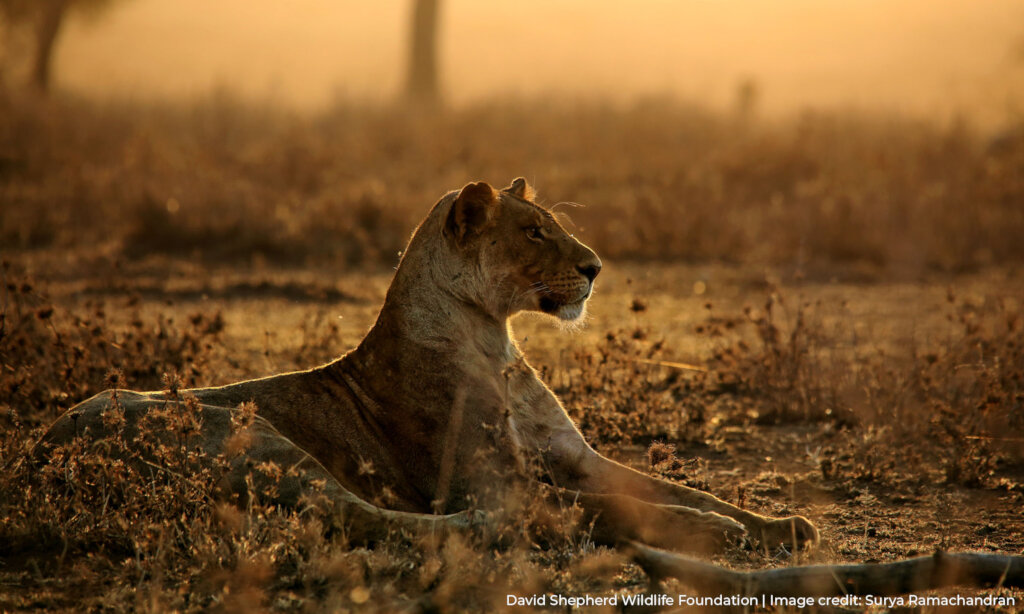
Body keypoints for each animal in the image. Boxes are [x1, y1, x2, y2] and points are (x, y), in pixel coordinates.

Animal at [36, 178, 819, 557]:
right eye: (534, 232)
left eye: (553, 225)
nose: (596, 268)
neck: (497, 342)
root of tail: (38, 452)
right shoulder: (496, 478)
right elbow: (606, 507)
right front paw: (710, 532)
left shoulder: (577, 459)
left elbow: (671, 489)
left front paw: (779, 525)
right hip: (248, 435)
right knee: (371, 519)